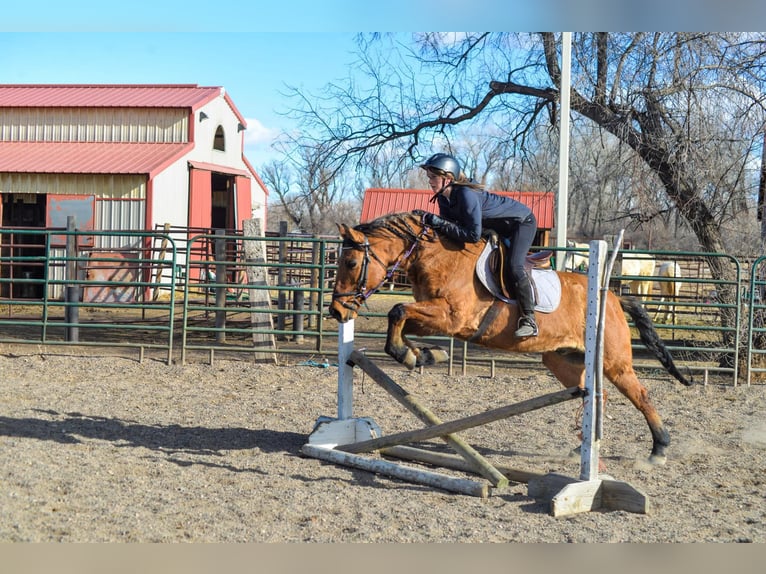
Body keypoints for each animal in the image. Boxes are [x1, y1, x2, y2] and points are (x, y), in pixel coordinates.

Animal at [330, 214, 696, 466]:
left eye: (351, 261)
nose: (337, 311)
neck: (438, 257)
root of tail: (616, 299)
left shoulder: (452, 317)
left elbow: (397, 311)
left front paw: (412, 355)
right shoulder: (437, 317)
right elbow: (402, 320)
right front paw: (423, 355)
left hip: (613, 362)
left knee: (641, 395)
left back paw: (658, 450)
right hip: (565, 361)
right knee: (594, 396)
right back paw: (583, 447)